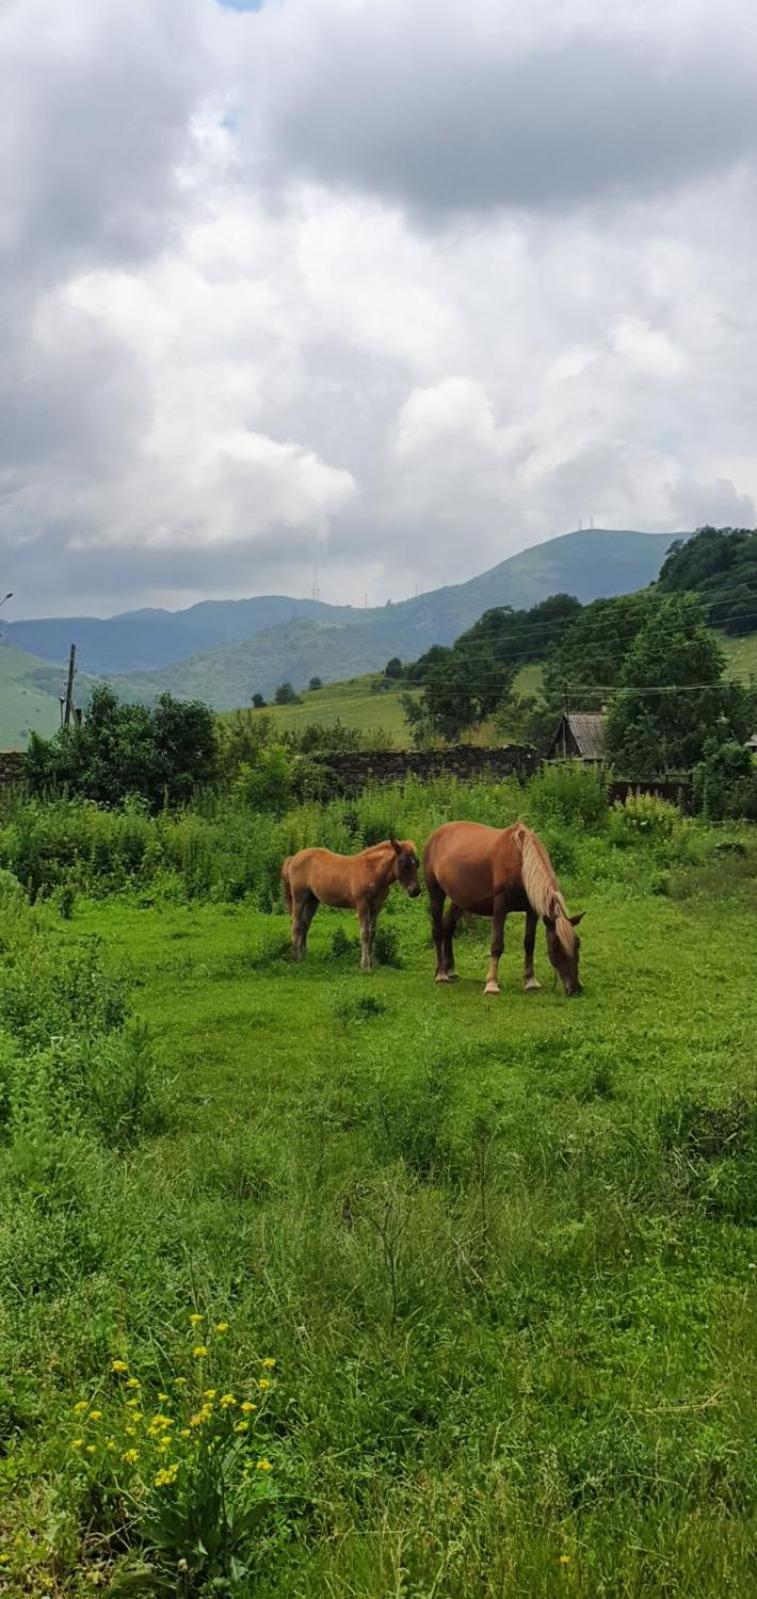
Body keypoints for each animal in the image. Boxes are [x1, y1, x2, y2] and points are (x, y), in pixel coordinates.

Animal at [281, 844, 422, 965]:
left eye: (417, 863)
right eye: (404, 864)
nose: (415, 890)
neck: (371, 871)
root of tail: (294, 858)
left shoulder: (376, 907)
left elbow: (372, 933)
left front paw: (372, 961)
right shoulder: (362, 904)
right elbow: (365, 933)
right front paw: (365, 965)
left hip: (313, 899)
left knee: (305, 924)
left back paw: (304, 953)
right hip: (299, 897)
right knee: (297, 924)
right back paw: (297, 957)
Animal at [422, 825, 582, 997]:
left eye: (578, 944)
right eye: (555, 946)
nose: (575, 989)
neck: (521, 864)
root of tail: (436, 834)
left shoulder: (531, 910)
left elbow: (529, 943)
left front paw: (530, 981)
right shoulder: (500, 906)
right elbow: (497, 944)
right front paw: (492, 984)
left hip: (460, 899)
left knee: (448, 926)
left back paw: (450, 969)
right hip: (436, 893)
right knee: (437, 930)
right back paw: (441, 974)